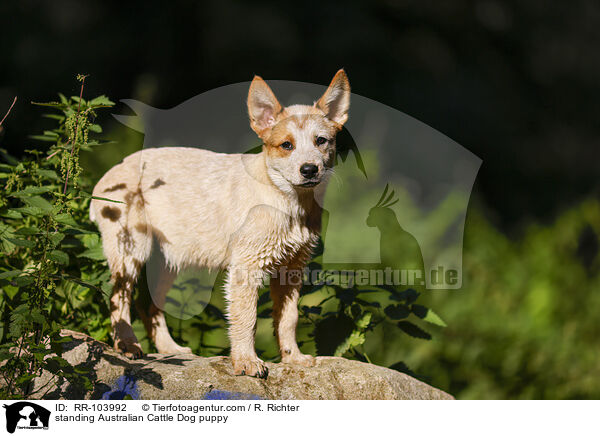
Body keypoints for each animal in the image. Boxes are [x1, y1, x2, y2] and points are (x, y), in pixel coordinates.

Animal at [90, 70, 352, 376]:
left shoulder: (292, 268)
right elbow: (246, 320)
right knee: (119, 298)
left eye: (321, 141)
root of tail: (105, 177)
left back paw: (169, 349)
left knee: (148, 304)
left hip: (167, 259)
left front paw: (293, 358)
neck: (289, 202)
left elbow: (289, 318)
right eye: (286, 145)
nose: (309, 170)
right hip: (131, 249)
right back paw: (127, 345)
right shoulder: (246, 267)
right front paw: (247, 362)